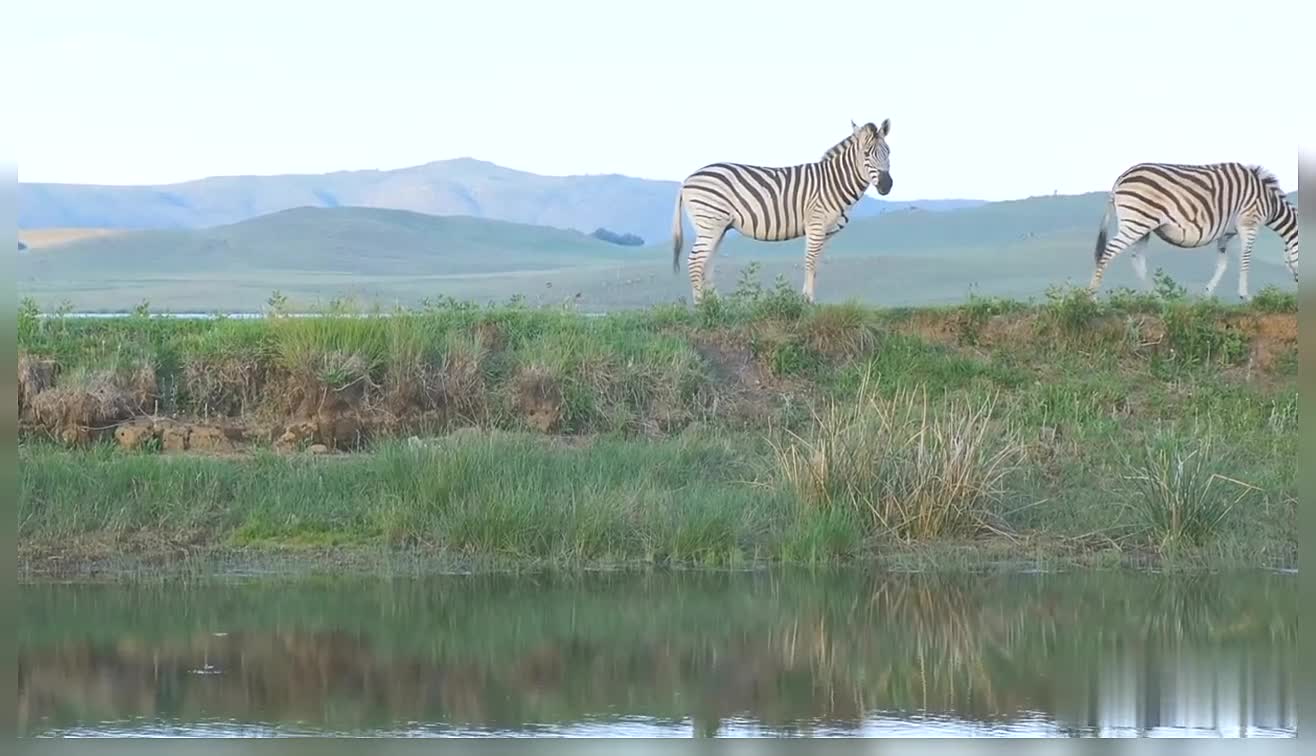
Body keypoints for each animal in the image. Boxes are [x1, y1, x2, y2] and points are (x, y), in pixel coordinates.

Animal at [668, 119, 894, 304]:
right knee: (695, 261)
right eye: (866, 154)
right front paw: (807, 301)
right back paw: (701, 307)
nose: (887, 185)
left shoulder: (826, 232)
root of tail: (687, 180)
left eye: (889, 152)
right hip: (710, 222)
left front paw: (809, 298)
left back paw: (716, 305)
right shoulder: (816, 223)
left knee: (706, 263)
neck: (834, 183)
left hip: (717, 227)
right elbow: (809, 261)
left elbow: (816, 265)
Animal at [1084, 163, 1300, 298]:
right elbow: (1245, 260)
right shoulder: (1249, 223)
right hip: (1136, 222)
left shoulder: (1226, 234)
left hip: (1143, 227)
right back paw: (1092, 298)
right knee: (1108, 252)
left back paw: (1157, 299)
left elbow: (1222, 265)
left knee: (1137, 261)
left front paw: (1207, 295)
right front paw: (1245, 296)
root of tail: (1121, 178)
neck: (1270, 202)